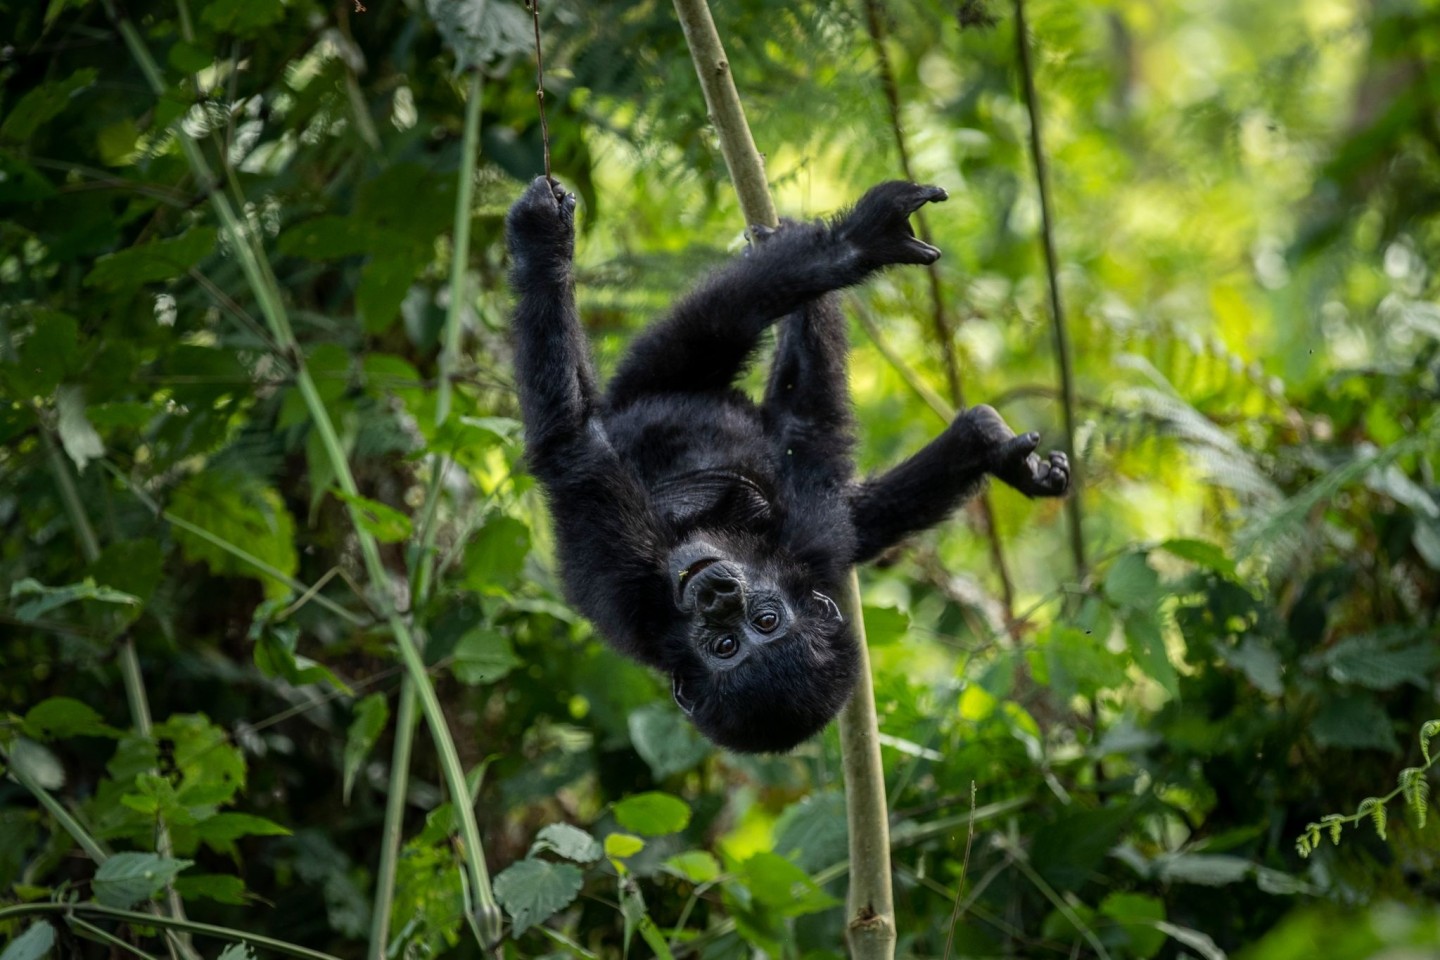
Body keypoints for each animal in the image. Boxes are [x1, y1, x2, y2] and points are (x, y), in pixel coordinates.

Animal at [509, 176, 1071, 754]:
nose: (717, 596)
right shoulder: (628, 583)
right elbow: (574, 444)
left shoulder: (810, 546)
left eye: (765, 622)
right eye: (725, 646)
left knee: (722, 327)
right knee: (720, 326)